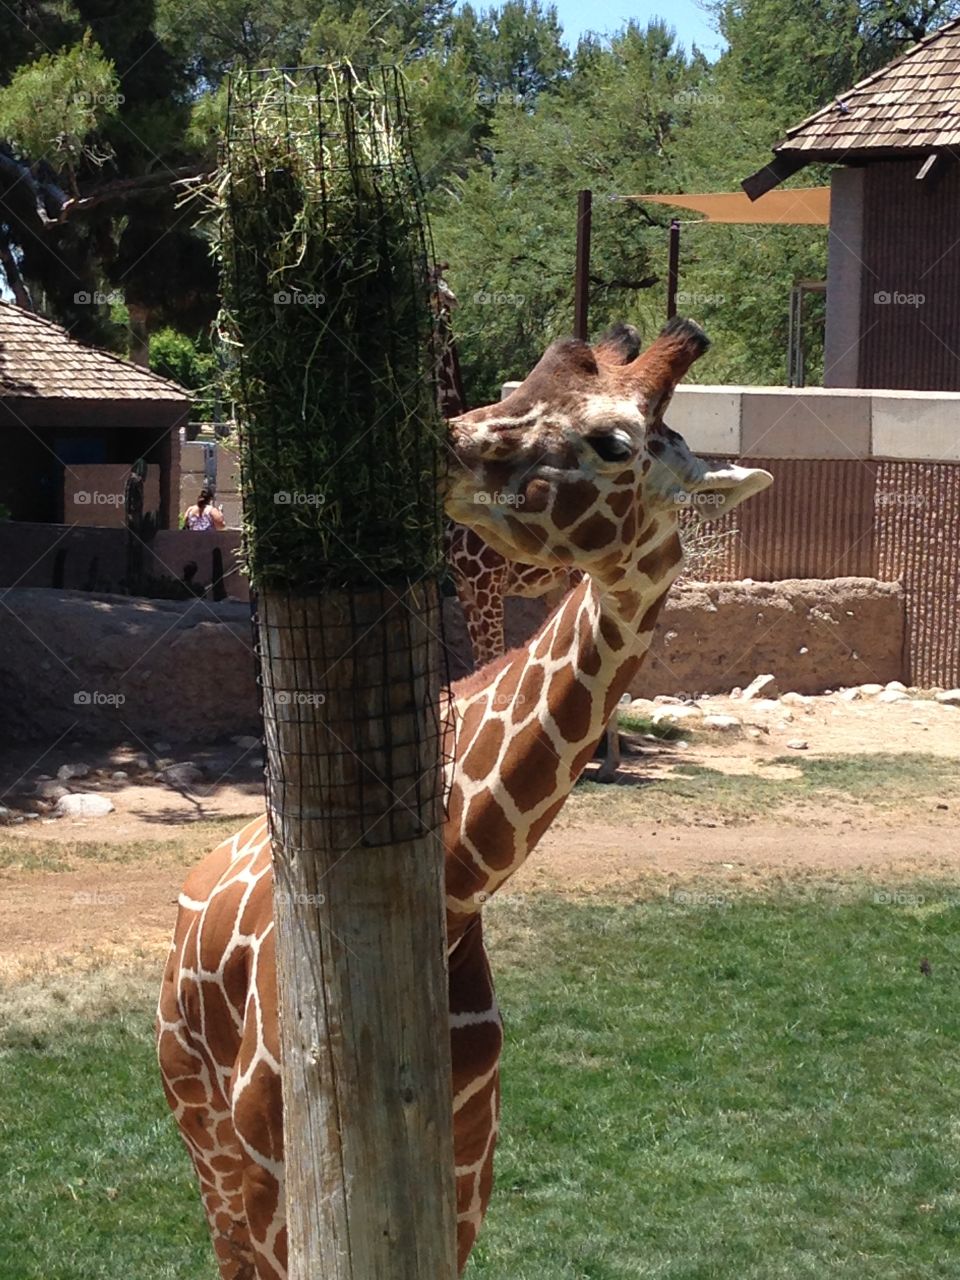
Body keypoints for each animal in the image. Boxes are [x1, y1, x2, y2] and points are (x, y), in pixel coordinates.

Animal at [157, 316, 772, 1280]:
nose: (433, 441)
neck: (451, 897)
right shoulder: (275, 1186)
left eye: (614, 442)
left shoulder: (467, 1180)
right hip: (205, 1136)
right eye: (520, 385)